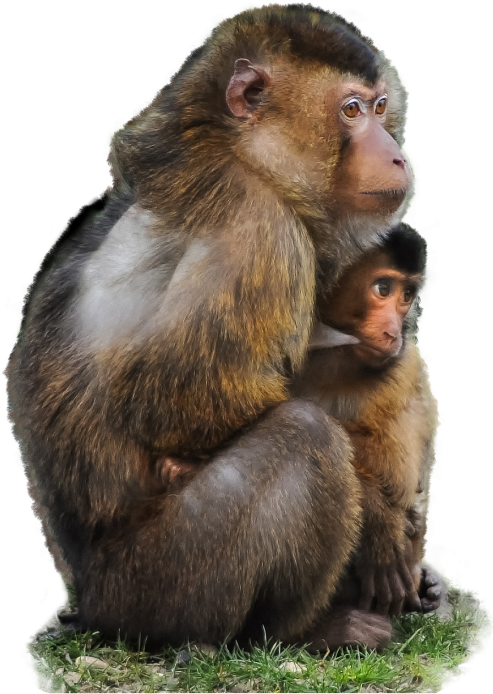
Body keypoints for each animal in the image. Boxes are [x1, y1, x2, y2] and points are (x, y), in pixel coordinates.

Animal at [10, 5, 420, 651]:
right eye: (351, 110)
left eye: (381, 108)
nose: (399, 155)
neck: (240, 156)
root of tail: (92, 601)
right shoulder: (260, 231)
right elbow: (173, 401)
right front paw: (381, 521)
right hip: (161, 581)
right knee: (304, 435)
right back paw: (303, 630)